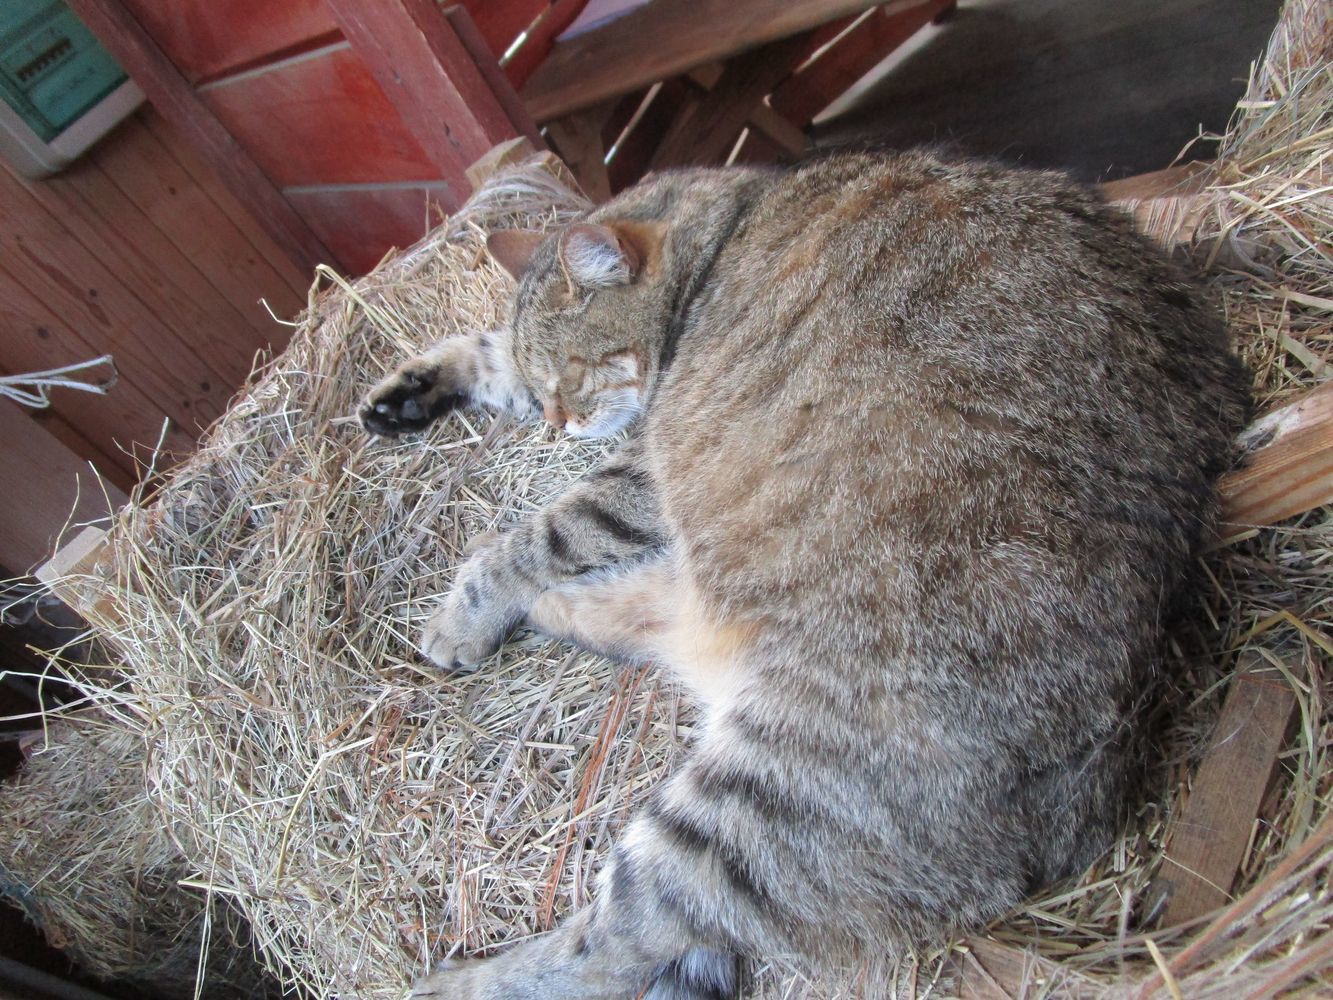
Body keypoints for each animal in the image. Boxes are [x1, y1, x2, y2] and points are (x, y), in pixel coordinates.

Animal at [359, 150, 1242, 1000]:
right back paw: (559, 609)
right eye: (548, 387)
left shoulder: (639, 466)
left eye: (575, 374)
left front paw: (467, 608)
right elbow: (488, 347)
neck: (728, 226)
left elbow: (536, 535)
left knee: (612, 946)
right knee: (661, 620)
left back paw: (454, 984)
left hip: (753, 806)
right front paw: (412, 388)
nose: (555, 423)